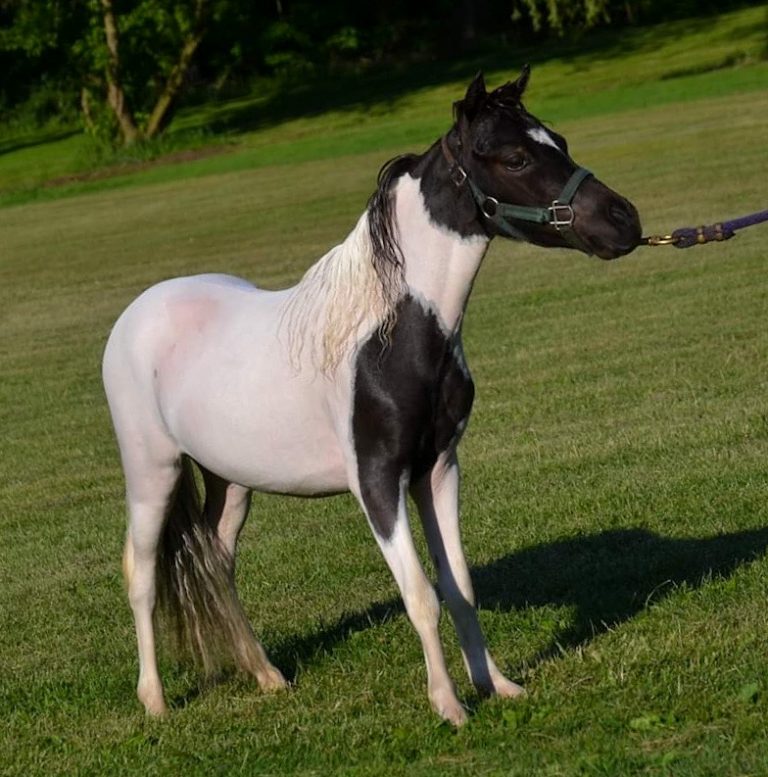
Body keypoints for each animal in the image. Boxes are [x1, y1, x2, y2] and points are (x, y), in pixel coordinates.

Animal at [103, 67, 641, 726]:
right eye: (514, 156)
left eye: (558, 141)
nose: (624, 220)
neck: (388, 334)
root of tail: (138, 313)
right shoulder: (378, 483)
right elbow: (421, 596)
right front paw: (449, 706)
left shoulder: (437, 470)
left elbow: (459, 587)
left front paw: (496, 685)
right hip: (152, 472)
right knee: (142, 572)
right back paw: (154, 701)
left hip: (229, 480)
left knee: (215, 561)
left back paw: (268, 677)